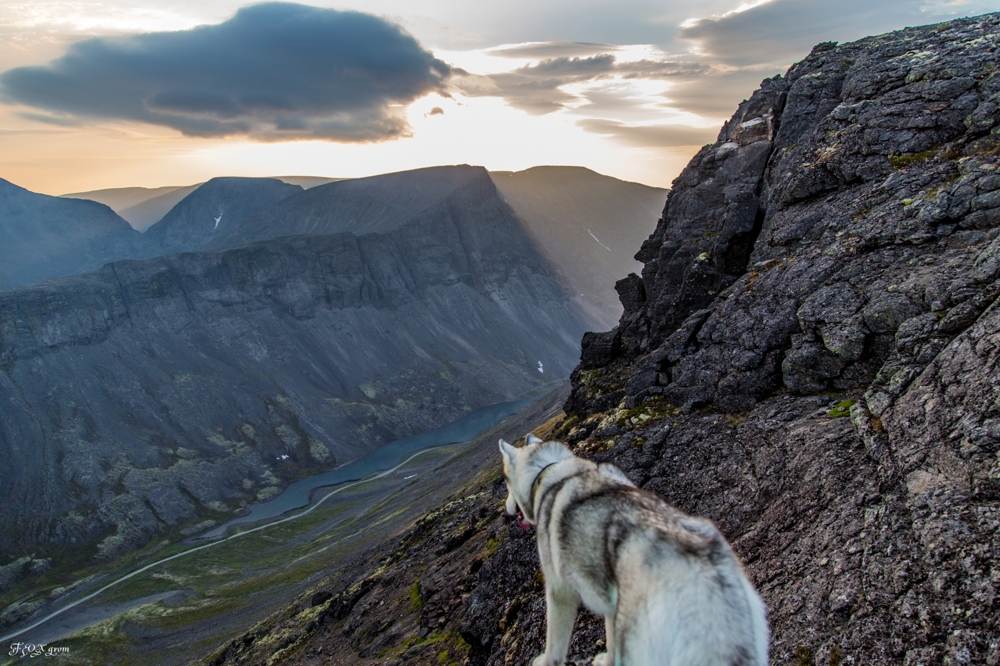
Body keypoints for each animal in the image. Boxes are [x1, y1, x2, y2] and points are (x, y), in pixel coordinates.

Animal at [500, 434, 772, 660]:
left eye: (505, 483)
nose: (505, 510)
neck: (547, 471)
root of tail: (704, 579)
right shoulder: (610, 602)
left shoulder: (559, 591)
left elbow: (554, 646)